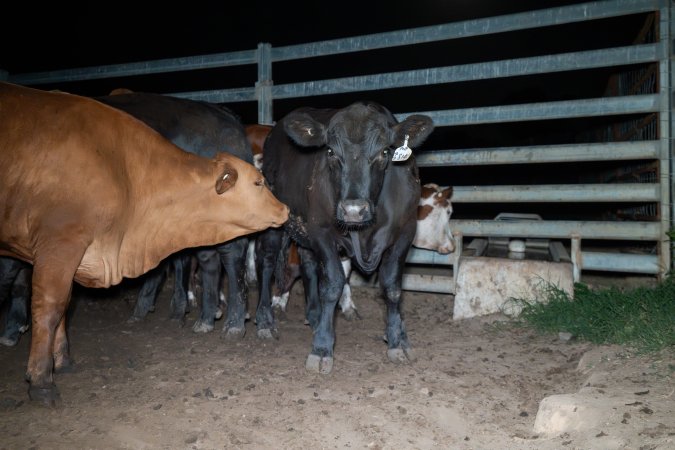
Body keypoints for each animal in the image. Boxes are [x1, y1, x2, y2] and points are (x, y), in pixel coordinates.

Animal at [0, 82, 288, 406]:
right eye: (257, 183)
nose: (285, 209)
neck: (124, 168)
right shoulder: (57, 248)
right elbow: (54, 303)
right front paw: (52, 365)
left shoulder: (59, 242)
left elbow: (46, 303)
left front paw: (40, 378)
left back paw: (231, 319)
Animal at [256, 101, 436, 372]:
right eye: (330, 151)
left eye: (384, 152)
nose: (353, 210)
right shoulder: (321, 230)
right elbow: (332, 285)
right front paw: (322, 347)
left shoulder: (406, 232)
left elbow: (392, 287)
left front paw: (398, 340)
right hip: (274, 221)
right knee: (266, 263)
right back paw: (266, 322)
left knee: (308, 264)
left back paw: (315, 316)